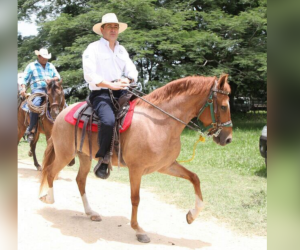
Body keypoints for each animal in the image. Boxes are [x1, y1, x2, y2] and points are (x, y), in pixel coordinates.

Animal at [38, 74, 233, 242]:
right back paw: (48, 198)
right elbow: (135, 198)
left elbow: (194, 178)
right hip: (65, 154)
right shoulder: (136, 169)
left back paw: (90, 212)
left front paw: (193, 214)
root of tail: (60, 114)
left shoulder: (166, 165)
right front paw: (138, 230)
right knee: (50, 171)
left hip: (84, 156)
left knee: (80, 180)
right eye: (224, 106)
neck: (158, 122)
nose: (228, 138)